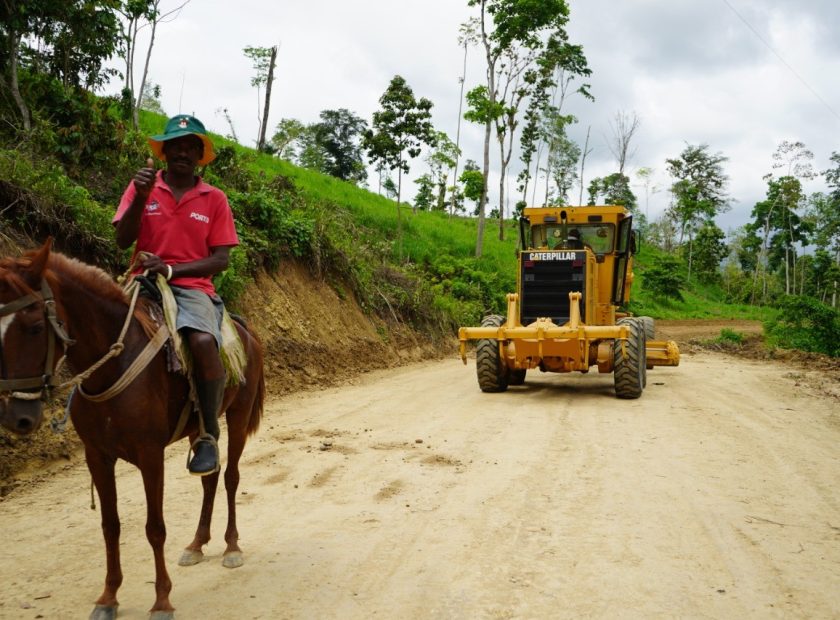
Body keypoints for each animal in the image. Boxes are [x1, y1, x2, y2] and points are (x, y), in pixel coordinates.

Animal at [0, 240, 266, 616]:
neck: (109, 367)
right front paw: (108, 597)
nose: (18, 416)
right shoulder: (97, 457)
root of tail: (243, 329)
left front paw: (162, 600)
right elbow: (110, 527)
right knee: (209, 476)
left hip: (239, 415)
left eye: (36, 326)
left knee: (230, 477)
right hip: (202, 430)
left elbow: (155, 528)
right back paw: (197, 544)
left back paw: (231, 547)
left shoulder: (150, 455)